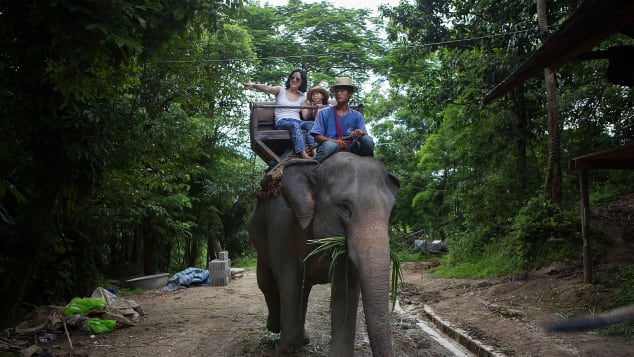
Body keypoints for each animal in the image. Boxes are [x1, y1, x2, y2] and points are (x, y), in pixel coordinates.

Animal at [246, 151, 398, 356]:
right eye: (345, 208)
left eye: (391, 209)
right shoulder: (282, 227)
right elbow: (289, 280)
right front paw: (286, 347)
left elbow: (345, 289)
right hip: (258, 235)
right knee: (266, 281)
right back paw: (276, 328)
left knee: (302, 289)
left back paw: (301, 338)